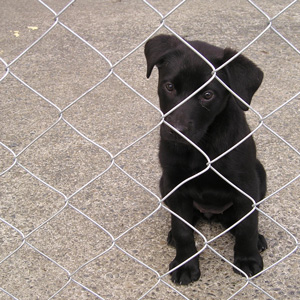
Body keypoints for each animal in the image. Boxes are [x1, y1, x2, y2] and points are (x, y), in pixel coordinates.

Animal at [145, 34, 268, 284]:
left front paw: (247, 259)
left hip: (260, 175)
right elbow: (182, 229)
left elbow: (248, 226)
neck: (201, 146)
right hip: (164, 184)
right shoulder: (175, 184)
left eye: (207, 95)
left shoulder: (245, 185)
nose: (176, 131)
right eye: (169, 87)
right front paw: (185, 264)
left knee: (239, 220)